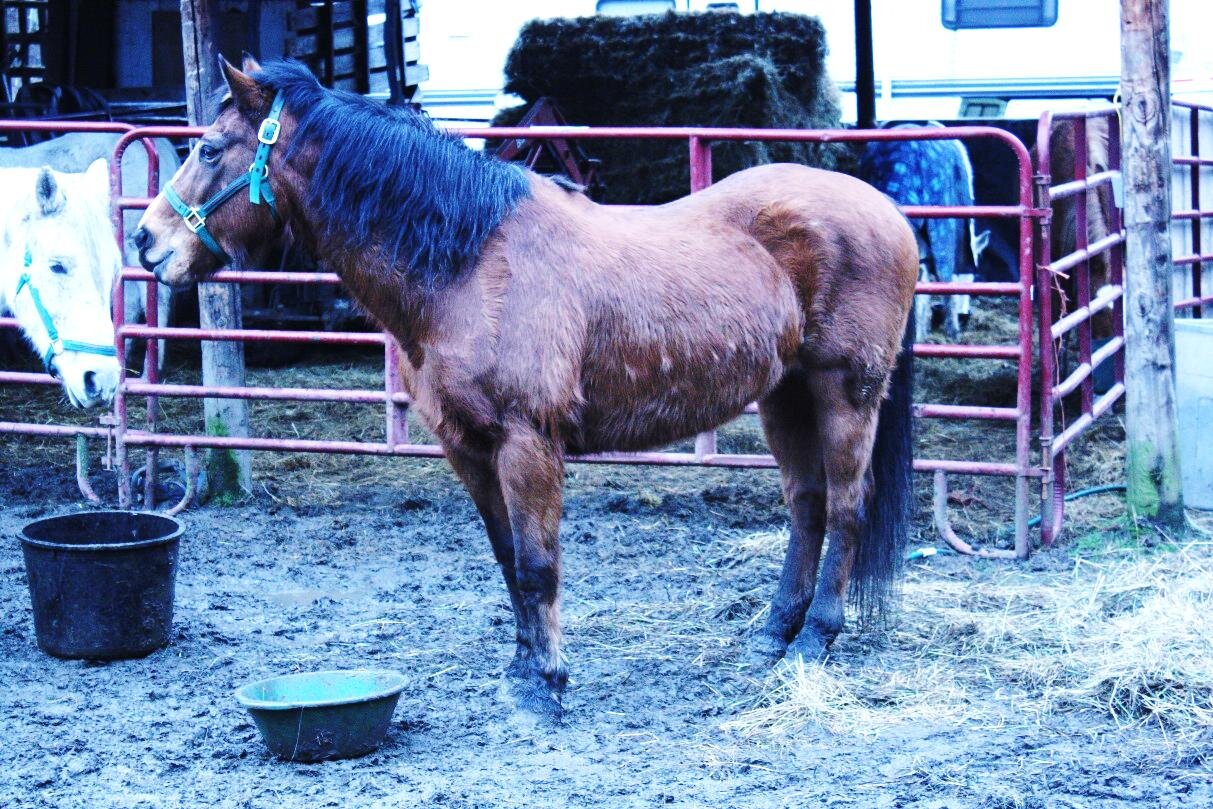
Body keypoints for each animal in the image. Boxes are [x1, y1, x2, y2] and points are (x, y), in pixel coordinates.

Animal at [133, 57, 918, 723]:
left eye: (211, 150)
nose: (147, 242)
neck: (473, 263)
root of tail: (888, 211)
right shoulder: (467, 447)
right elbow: (508, 560)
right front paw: (519, 672)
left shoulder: (527, 442)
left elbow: (539, 567)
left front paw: (547, 685)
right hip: (784, 395)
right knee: (807, 507)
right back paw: (773, 635)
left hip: (845, 393)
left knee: (846, 508)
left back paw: (816, 638)